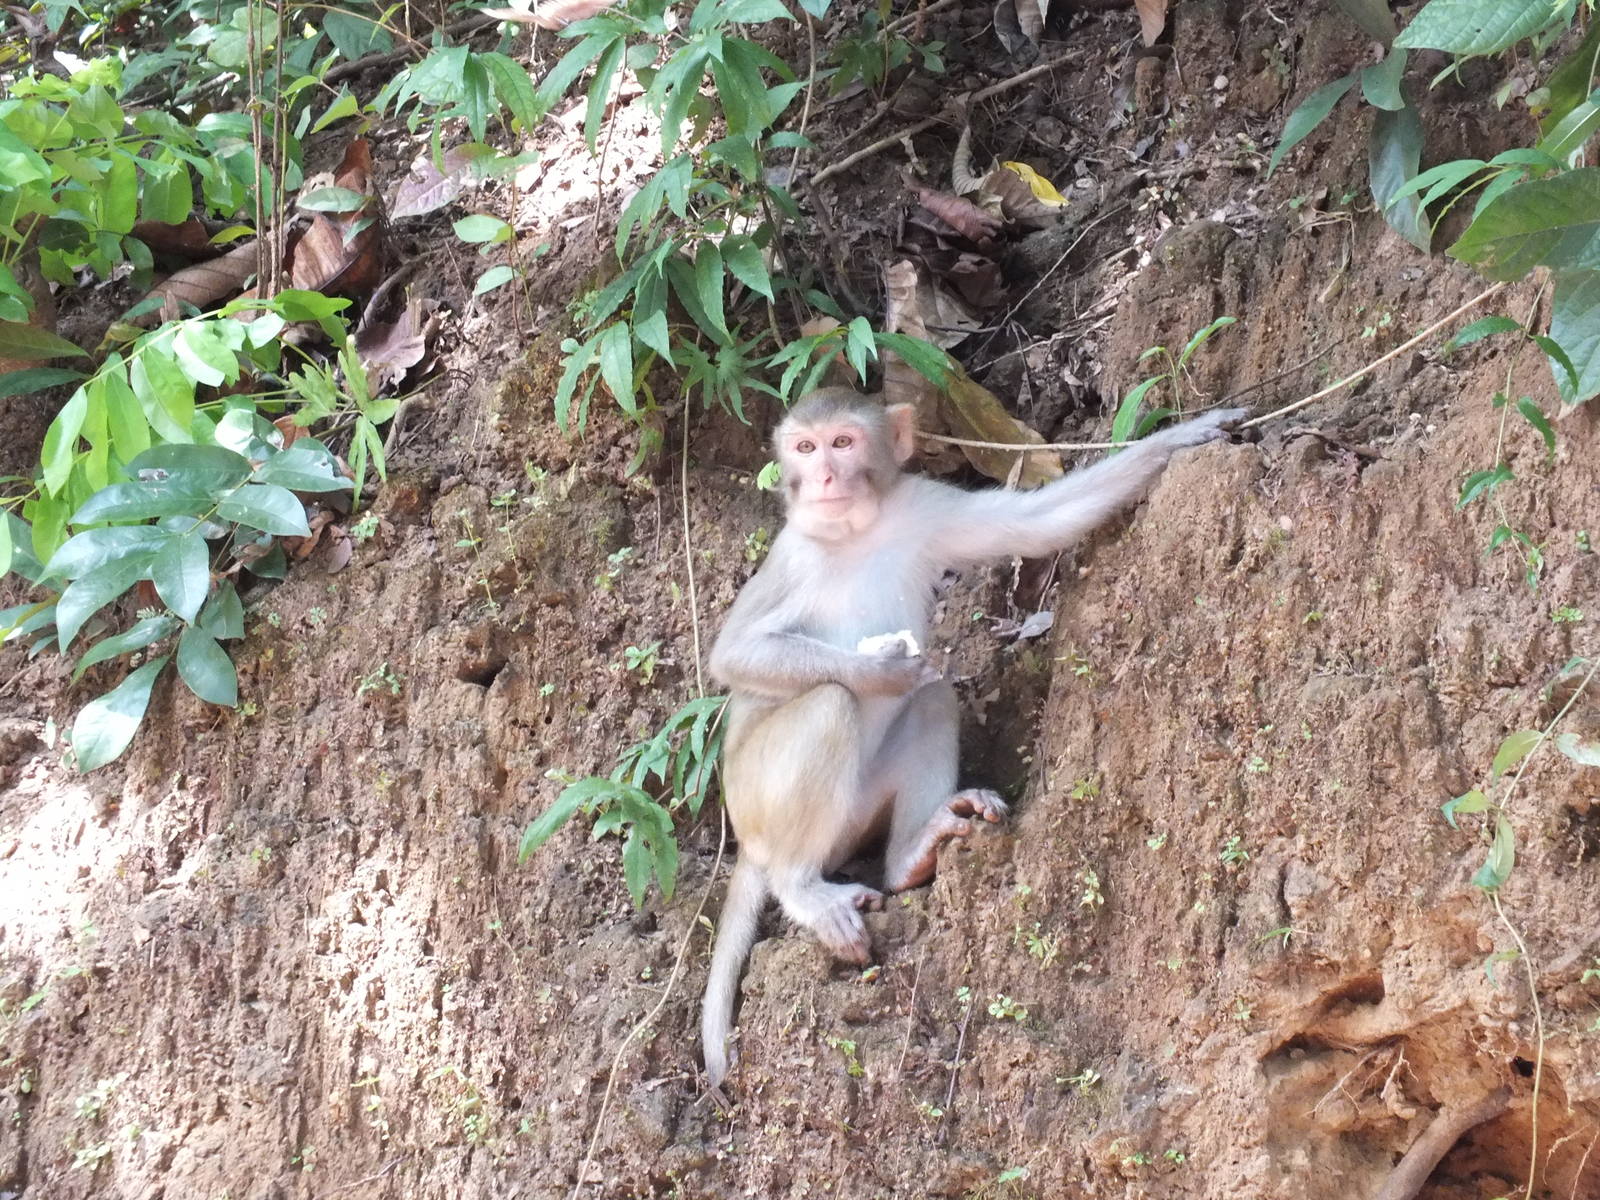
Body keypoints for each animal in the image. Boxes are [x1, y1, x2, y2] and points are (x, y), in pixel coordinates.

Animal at [700, 388, 1246, 1086]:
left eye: (842, 443)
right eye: (804, 447)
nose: (822, 478)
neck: (853, 531)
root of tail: (747, 841)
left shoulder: (922, 507)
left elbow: (1035, 523)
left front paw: (1181, 438)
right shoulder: (792, 557)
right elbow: (736, 656)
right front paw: (880, 670)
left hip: (850, 818)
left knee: (933, 700)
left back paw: (913, 853)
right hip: (757, 797)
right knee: (828, 704)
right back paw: (804, 888)